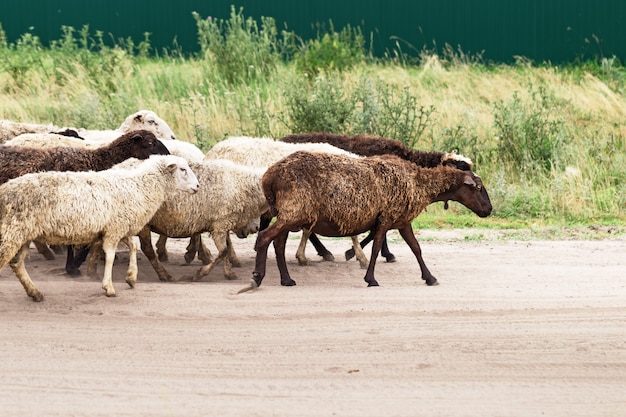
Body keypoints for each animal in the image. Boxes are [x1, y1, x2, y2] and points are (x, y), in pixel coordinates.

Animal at [0, 154, 199, 300]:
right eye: (183, 169)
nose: (197, 186)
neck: (139, 187)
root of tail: (5, 190)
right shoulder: (114, 230)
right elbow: (110, 257)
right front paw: (108, 287)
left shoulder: (118, 227)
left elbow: (133, 247)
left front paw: (131, 277)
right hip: (12, 231)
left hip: (23, 235)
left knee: (17, 264)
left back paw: (34, 293)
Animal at [236, 151, 490, 290]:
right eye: (478, 188)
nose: (489, 209)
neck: (419, 183)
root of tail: (269, 177)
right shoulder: (387, 218)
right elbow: (377, 247)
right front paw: (371, 278)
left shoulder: (401, 220)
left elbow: (416, 248)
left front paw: (430, 278)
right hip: (294, 211)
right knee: (264, 238)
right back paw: (257, 278)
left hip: (289, 213)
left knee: (277, 244)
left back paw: (287, 280)